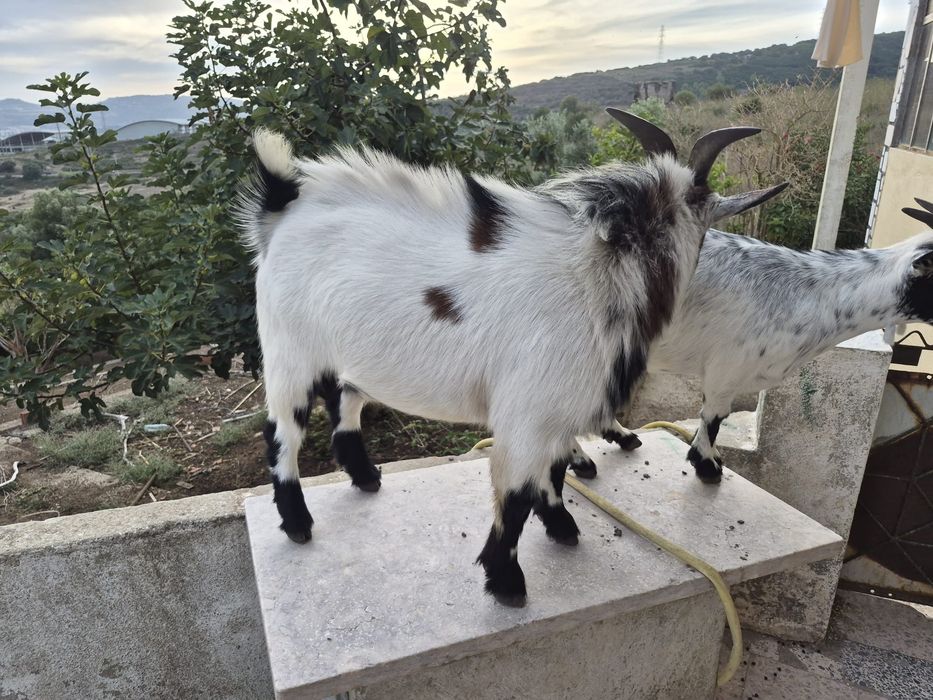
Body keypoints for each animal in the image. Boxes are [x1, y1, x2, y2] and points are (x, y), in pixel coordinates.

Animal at [238, 110, 786, 606]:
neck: (597, 277)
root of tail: (282, 206)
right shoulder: (529, 411)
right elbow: (517, 493)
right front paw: (506, 580)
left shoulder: (559, 409)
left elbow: (556, 471)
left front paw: (560, 525)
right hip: (289, 352)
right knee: (281, 431)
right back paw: (297, 522)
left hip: (349, 357)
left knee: (344, 401)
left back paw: (366, 477)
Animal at [571, 199, 933, 484]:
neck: (813, 294)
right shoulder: (726, 368)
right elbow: (715, 417)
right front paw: (707, 466)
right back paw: (583, 461)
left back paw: (622, 437)